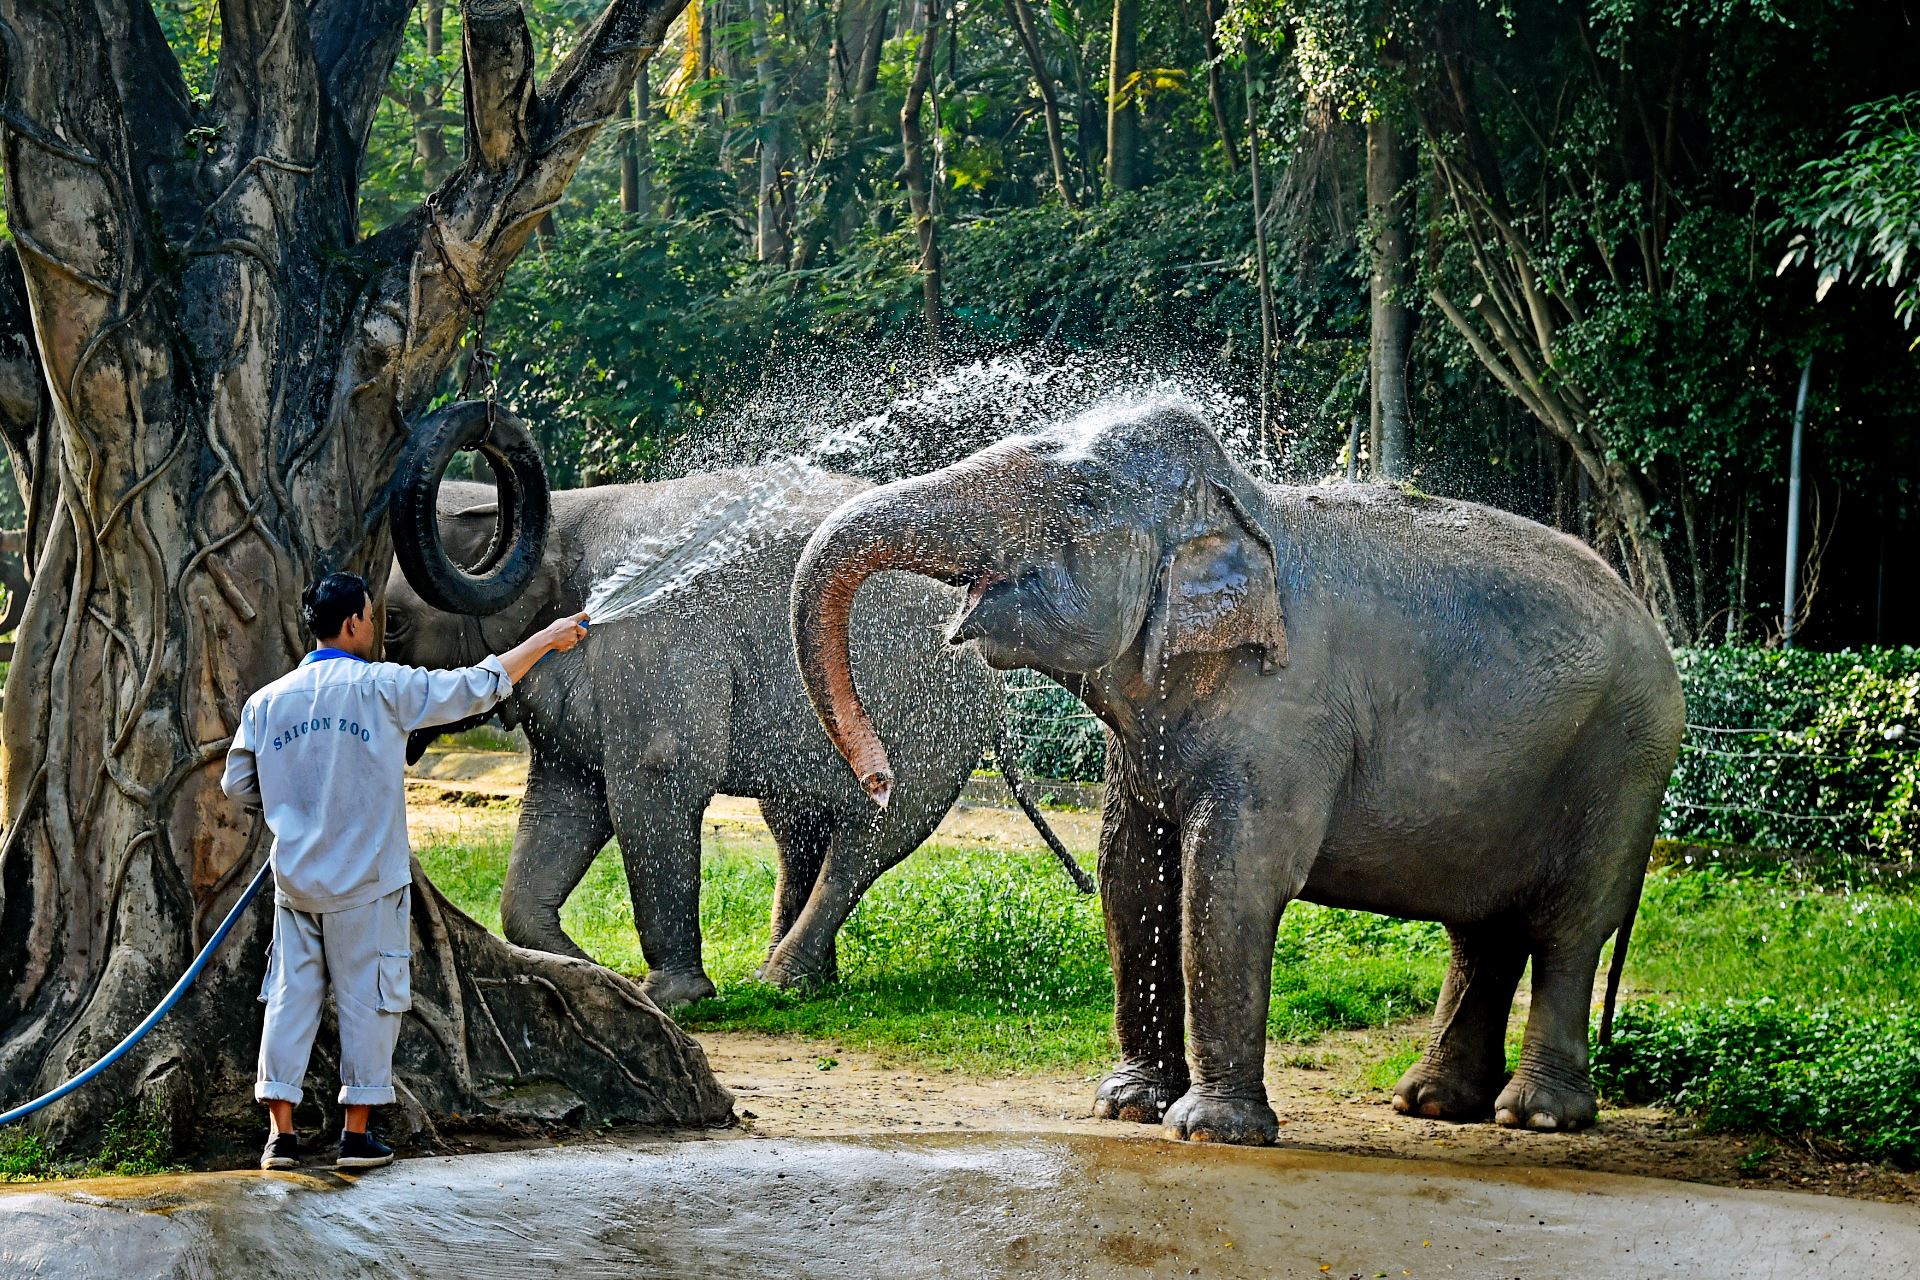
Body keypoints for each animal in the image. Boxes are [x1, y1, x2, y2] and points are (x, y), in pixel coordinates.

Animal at [382, 470, 1090, 1013]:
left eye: (391, 623)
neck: (559, 513)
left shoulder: (654, 650)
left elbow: (655, 783)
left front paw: (673, 1001)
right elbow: (562, 802)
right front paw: (591, 976)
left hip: (930, 728)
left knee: (868, 841)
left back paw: (781, 981)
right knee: (798, 831)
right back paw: (800, 982)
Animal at [787, 397, 1689, 1143]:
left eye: (1075, 503)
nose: (878, 779)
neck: (1243, 509)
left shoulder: (1289, 711)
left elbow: (1230, 878)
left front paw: (1209, 1130)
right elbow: (1130, 872)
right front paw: (1125, 1107)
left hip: (1624, 761)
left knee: (1568, 926)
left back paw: (1536, 1117)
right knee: (1482, 930)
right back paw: (1430, 1103)